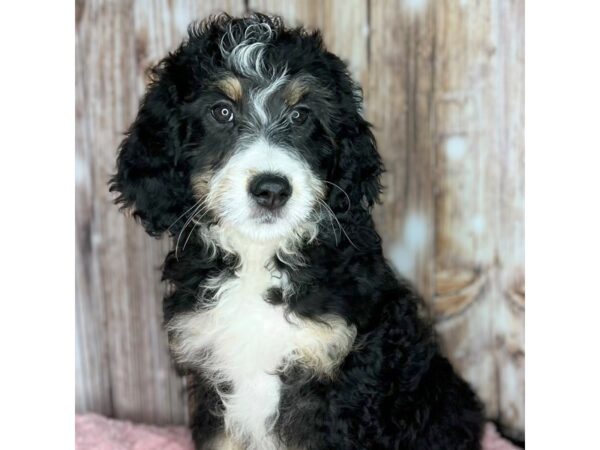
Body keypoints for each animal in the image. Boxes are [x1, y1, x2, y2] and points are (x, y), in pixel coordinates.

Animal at [110, 13, 486, 450]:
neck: (259, 257)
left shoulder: (338, 380)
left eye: (300, 115)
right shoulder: (211, 376)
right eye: (221, 112)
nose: (272, 189)